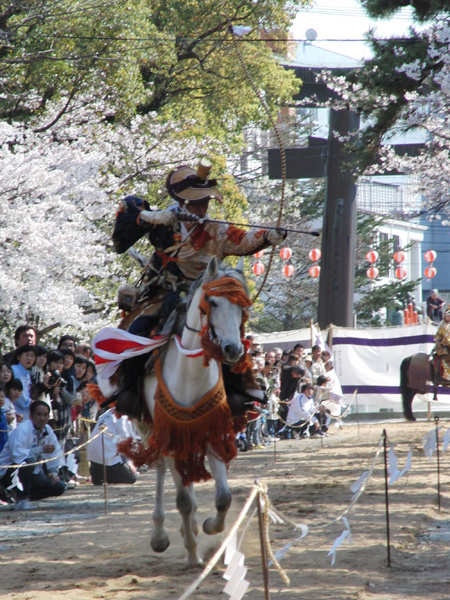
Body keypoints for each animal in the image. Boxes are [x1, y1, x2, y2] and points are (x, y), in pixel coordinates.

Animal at [135, 256, 251, 568]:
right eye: (212, 301)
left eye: (242, 306)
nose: (233, 349)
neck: (189, 374)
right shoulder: (170, 433)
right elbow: (183, 501)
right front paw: (191, 552)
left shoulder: (213, 430)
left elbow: (223, 497)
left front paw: (211, 526)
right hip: (150, 429)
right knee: (163, 470)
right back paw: (160, 535)